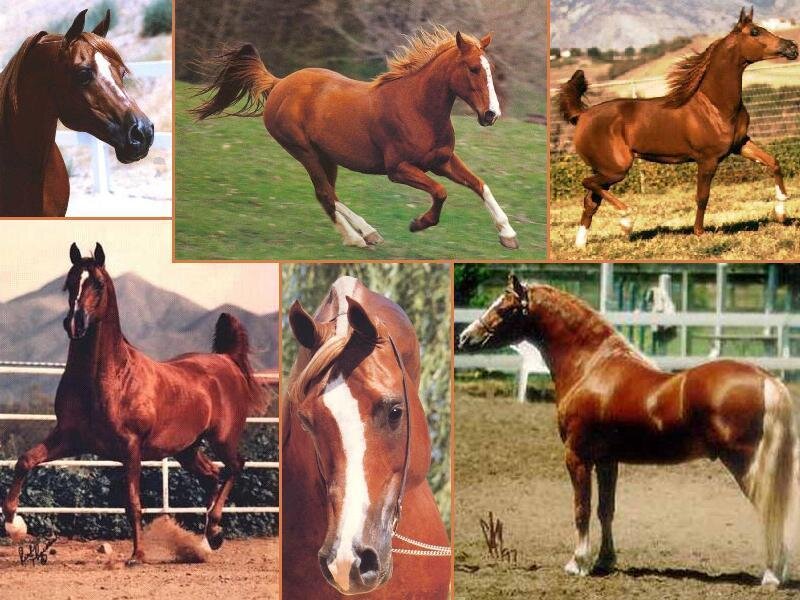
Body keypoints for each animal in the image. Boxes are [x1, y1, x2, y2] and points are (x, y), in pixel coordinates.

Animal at [2, 243, 265, 564]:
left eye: (98, 283)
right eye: (70, 282)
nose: (74, 323)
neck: (109, 378)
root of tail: (227, 359)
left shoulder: (131, 447)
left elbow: (132, 502)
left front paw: (137, 555)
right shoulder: (70, 438)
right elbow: (25, 460)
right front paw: (14, 525)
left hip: (222, 439)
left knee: (235, 467)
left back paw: (212, 532)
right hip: (187, 450)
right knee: (212, 476)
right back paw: (208, 539)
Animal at [191, 26, 519, 251]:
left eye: (491, 70)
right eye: (474, 69)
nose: (492, 114)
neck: (417, 108)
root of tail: (279, 83)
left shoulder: (443, 161)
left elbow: (480, 185)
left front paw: (508, 235)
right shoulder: (398, 170)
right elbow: (440, 192)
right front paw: (418, 224)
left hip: (326, 157)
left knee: (329, 195)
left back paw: (364, 234)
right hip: (304, 151)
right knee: (325, 194)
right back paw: (358, 237)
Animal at [459, 274, 800, 587]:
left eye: (504, 308)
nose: (465, 337)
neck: (590, 367)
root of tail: (766, 379)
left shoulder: (577, 457)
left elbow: (581, 508)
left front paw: (577, 563)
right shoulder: (607, 461)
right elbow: (605, 510)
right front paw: (604, 560)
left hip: (745, 464)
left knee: (769, 508)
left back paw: (771, 574)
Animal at [557, 8, 799, 249]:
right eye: (755, 32)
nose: (792, 47)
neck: (715, 106)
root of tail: (583, 114)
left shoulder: (740, 145)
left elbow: (773, 162)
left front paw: (781, 213)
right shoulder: (708, 159)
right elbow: (702, 196)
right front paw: (699, 232)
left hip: (605, 169)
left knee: (590, 201)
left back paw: (581, 244)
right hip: (616, 168)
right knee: (588, 184)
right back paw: (626, 220)